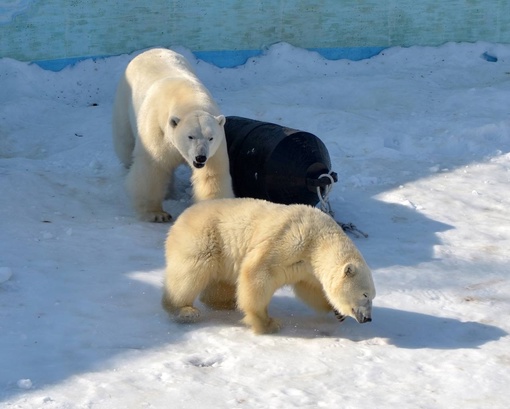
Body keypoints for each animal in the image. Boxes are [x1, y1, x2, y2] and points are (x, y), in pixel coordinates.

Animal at [111, 47, 233, 222]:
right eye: (190, 136)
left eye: (210, 138)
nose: (200, 157)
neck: (187, 98)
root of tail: (150, 50)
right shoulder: (158, 130)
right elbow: (152, 167)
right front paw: (156, 214)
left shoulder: (216, 148)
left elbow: (210, 175)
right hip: (124, 102)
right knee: (125, 143)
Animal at [161, 198, 376, 334]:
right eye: (365, 295)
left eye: (373, 296)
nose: (368, 318)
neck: (319, 239)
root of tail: (180, 219)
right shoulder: (289, 241)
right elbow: (258, 272)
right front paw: (268, 323)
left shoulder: (306, 267)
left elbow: (309, 288)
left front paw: (336, 311)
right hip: (204, 240)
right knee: (190, 273)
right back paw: (184, 310)